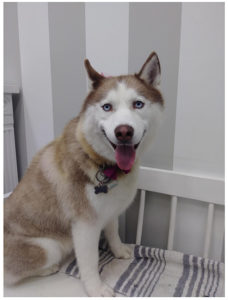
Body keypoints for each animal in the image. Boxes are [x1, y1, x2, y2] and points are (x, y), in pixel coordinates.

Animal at [3, 51, 164, 296]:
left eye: (138, 104)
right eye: (107, 107)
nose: (123, 132)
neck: (101, 162)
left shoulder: (110, 210)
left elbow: (113, 232)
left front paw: (119, 251)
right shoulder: (84, 225)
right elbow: (89, 262)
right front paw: (96, 288)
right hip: (47, 247)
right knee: (13, 274)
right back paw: (49, 268)